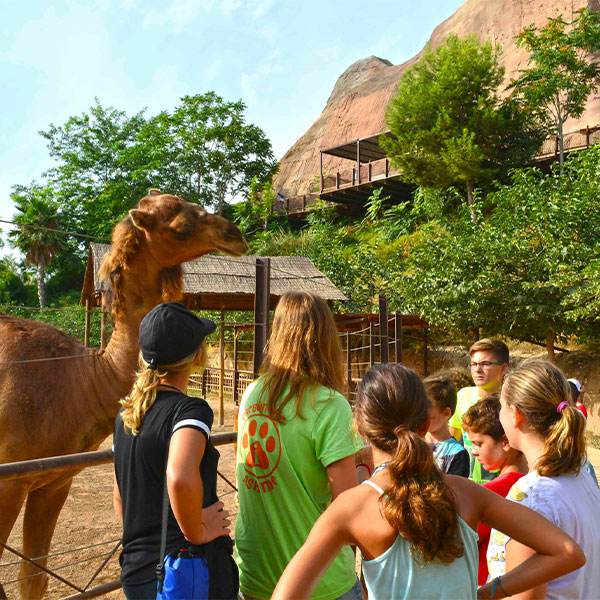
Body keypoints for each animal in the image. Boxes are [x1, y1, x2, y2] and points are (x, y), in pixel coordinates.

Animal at [0, 190, 248, 596]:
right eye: (181, 227)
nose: (234, 233)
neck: (79, 379)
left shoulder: (53, 482)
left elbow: (34, 578)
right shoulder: (11, 480)